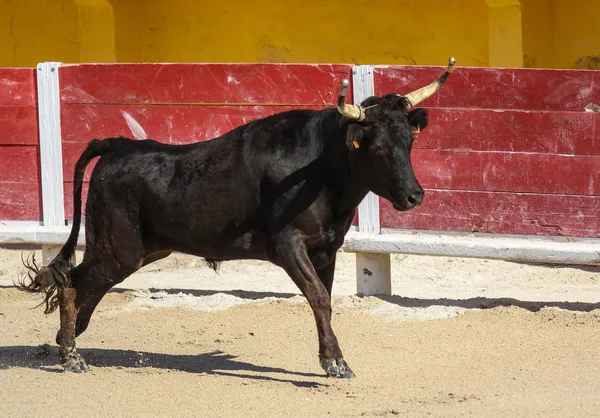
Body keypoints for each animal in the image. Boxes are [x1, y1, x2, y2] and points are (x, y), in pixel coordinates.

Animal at [19, 62, 454, 378]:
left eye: (409, 141)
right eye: (377, 147)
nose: (414, 196)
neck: (322, 167)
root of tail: (118, 145)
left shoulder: (327, 248)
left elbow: (325, 299)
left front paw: (329, 359)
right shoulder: (288, 244)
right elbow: (318, 297)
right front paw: (336, 362)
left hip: (133, 252)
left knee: (85, 286)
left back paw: (67, 341)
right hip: (119, 249)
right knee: (74, 284)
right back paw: (71, 356)